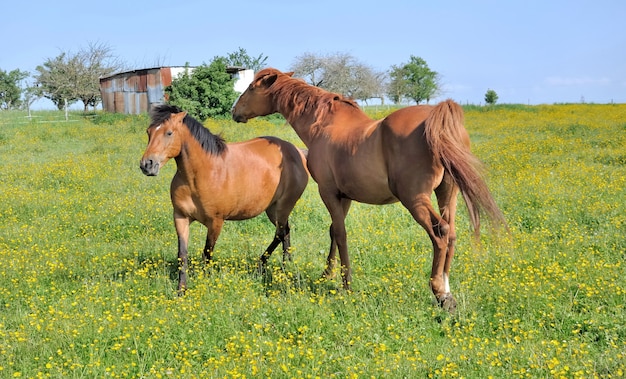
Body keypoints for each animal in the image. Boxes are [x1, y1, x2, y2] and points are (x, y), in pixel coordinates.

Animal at [140, 104, 308, 294]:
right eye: (149, 132)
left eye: (169, 133)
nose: (147, 165)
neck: (201, 173)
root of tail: (298, 152)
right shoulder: (180, 217)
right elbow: (182, 254)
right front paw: (181, 290)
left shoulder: (216, 222)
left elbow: (207, 252)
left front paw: (205, 281)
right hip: (272, 209)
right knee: (285, 231)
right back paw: (286, 265)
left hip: (283, 206)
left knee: (280, 233)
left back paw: (263, 265)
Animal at [232, 68, 504, 312]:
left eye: (251, 87)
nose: (235, 112)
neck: (323, 125)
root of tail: (437, 120)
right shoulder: (344, 197)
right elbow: (333, 232)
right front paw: (327, 274)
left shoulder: (327, 192)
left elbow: (340, 234)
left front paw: (346, 284)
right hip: (447, 194)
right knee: (452, 234)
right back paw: (448, 290)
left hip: (416, 199)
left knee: (440, 232)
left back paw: (440, 293)